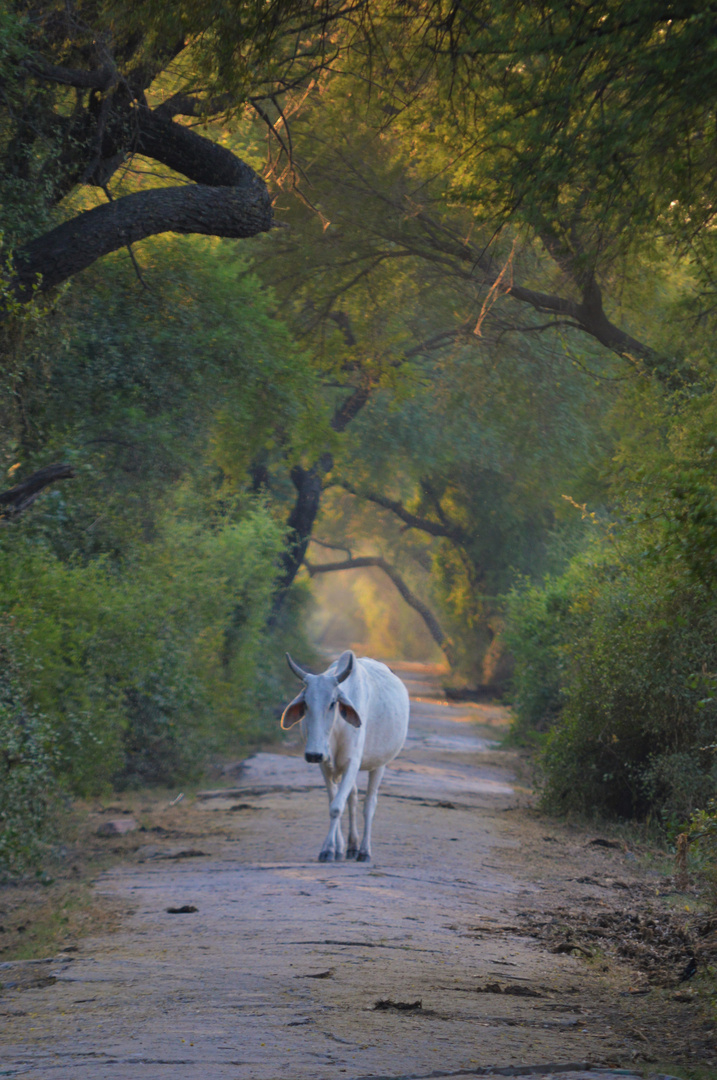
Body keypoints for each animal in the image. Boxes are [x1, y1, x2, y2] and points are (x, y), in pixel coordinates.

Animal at [282, 648, 412, 859]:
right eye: (306, 703)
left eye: (333, 703)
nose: (313, 754)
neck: (336, 729)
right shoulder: (325, 765)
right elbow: (334, 802)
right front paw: (335, 847)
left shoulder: (353, 762)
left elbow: (337, 807)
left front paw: (328, 849)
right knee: (353, 797)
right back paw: (351, 845)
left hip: (380, 764)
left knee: (369, 804)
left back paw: (364, 850)